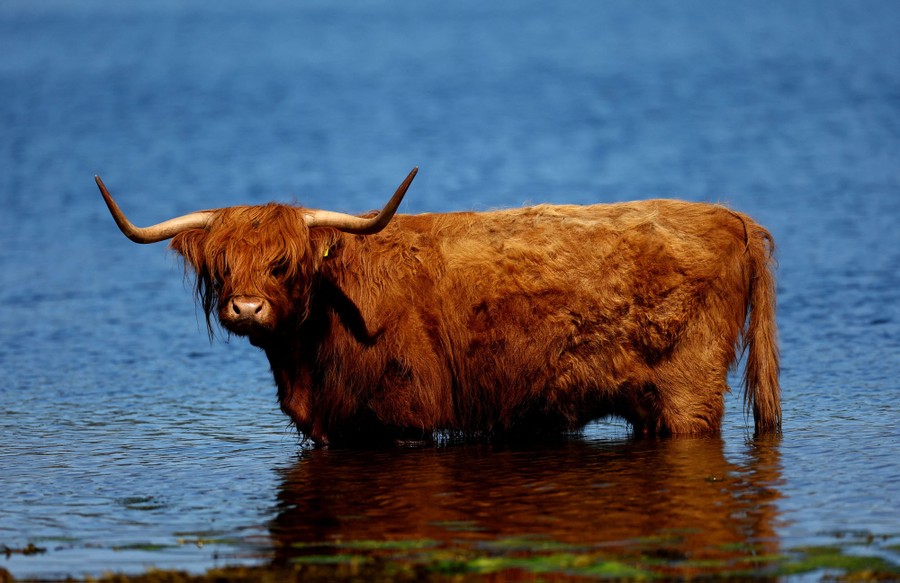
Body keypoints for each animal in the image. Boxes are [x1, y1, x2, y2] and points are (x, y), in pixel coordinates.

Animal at [95, 168, 780, 445]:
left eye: (283, 263)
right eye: (221, 266)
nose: (244, 308)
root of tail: (729, 216)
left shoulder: (403, 420)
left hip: (688, 394)